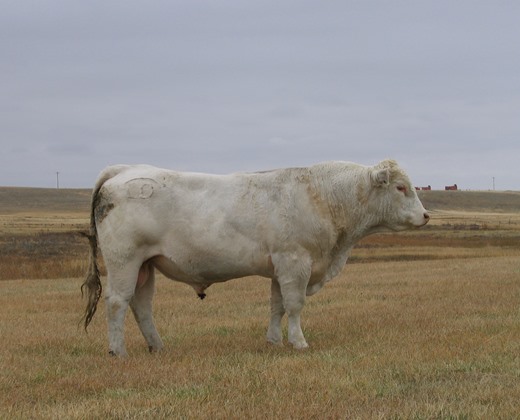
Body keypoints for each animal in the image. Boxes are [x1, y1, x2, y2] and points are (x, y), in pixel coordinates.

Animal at [82, 159, 430, 356]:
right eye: (401, 187)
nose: (426, 215)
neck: (323, 197)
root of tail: (125, 171)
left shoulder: (280, 268)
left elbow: (277, 305)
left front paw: (274, 340)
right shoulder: (295, 262)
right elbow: (295, 305)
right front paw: (299, 342)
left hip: (145, 265)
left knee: (141, 306)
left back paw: (157, 347)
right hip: (124, 260)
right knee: (117, 303)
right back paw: (118, 351)